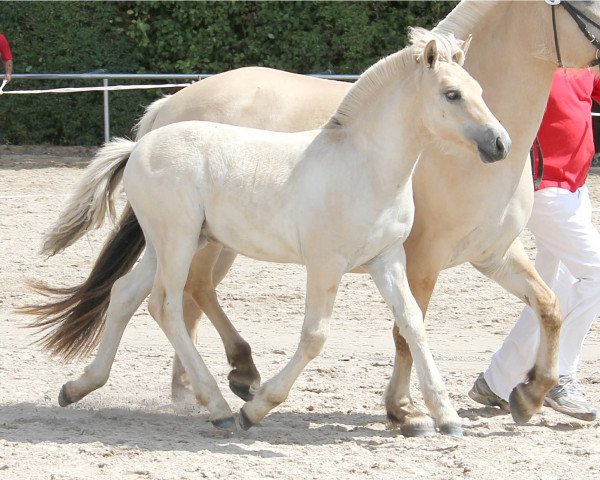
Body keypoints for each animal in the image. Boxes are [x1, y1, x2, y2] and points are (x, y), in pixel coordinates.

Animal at [29, 0, 600, 436]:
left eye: (482, 90)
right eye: (452, 93)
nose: (498, 143)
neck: (366, 164)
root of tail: (144, 138)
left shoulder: (397, 258)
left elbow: (418, 324)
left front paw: (452, 414)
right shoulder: (341, 262)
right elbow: (319, 336)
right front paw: (263, 410)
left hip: (179, 241)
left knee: (129, 294)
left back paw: (81, 386)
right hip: (180, 241)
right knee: (167, 304)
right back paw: (222, 403)